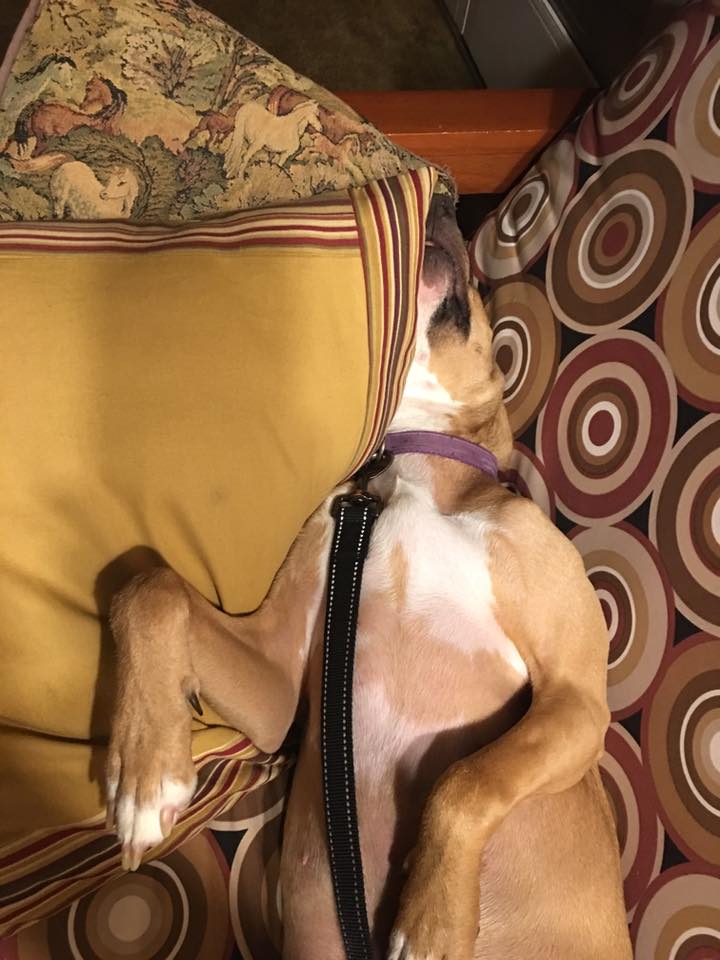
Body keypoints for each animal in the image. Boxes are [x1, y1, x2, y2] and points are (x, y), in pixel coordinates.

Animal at [106, 195, 632, 960]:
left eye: (480, 293)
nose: (445, 198)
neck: (413, 470)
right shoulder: (277, 685)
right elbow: (147, 589)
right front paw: (146, 771)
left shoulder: (578, 700)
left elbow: (467, 779)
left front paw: (433, 916)